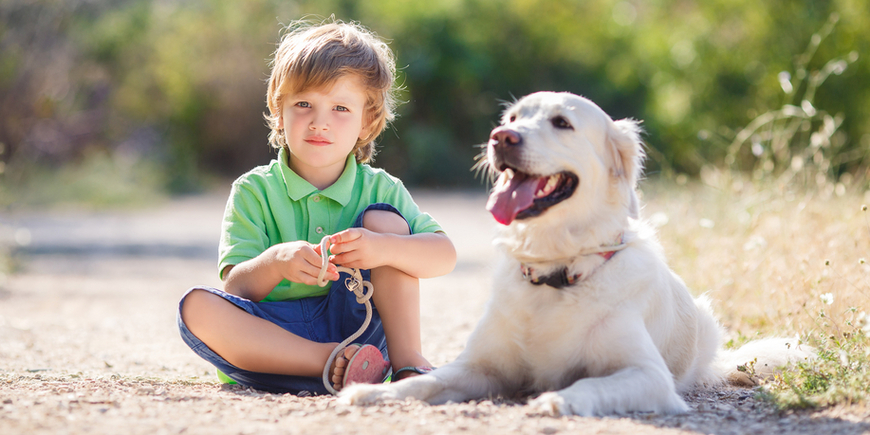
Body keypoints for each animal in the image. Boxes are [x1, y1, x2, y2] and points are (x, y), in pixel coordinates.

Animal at [338, 91, 812, 416]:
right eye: (513, 118)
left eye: (562, 122)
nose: (500, 138)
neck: (557, 268)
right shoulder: (480, 366)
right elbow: (425, 383)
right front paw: (374, 391)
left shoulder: (649, 376)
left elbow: (590, 385)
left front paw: (554, 401)